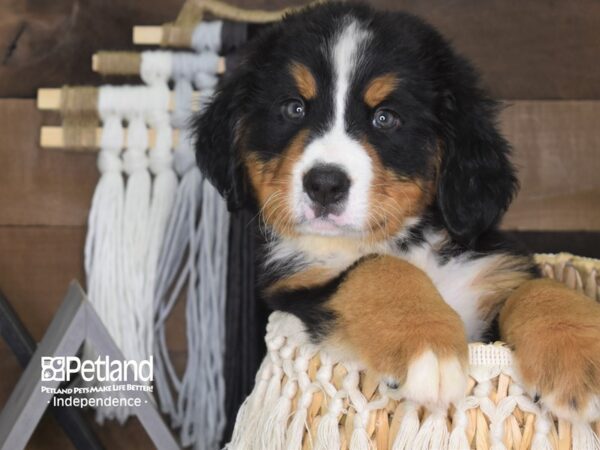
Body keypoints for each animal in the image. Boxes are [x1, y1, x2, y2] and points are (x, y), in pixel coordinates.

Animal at [195, 0, 600, 422]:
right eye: (293, 108)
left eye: (385, 118)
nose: (324, 184)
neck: (404, 241)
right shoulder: (297, 286)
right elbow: (376, 268)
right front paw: (428, 346)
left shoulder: (494, 270)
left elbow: (541, 288)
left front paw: (577, 361)